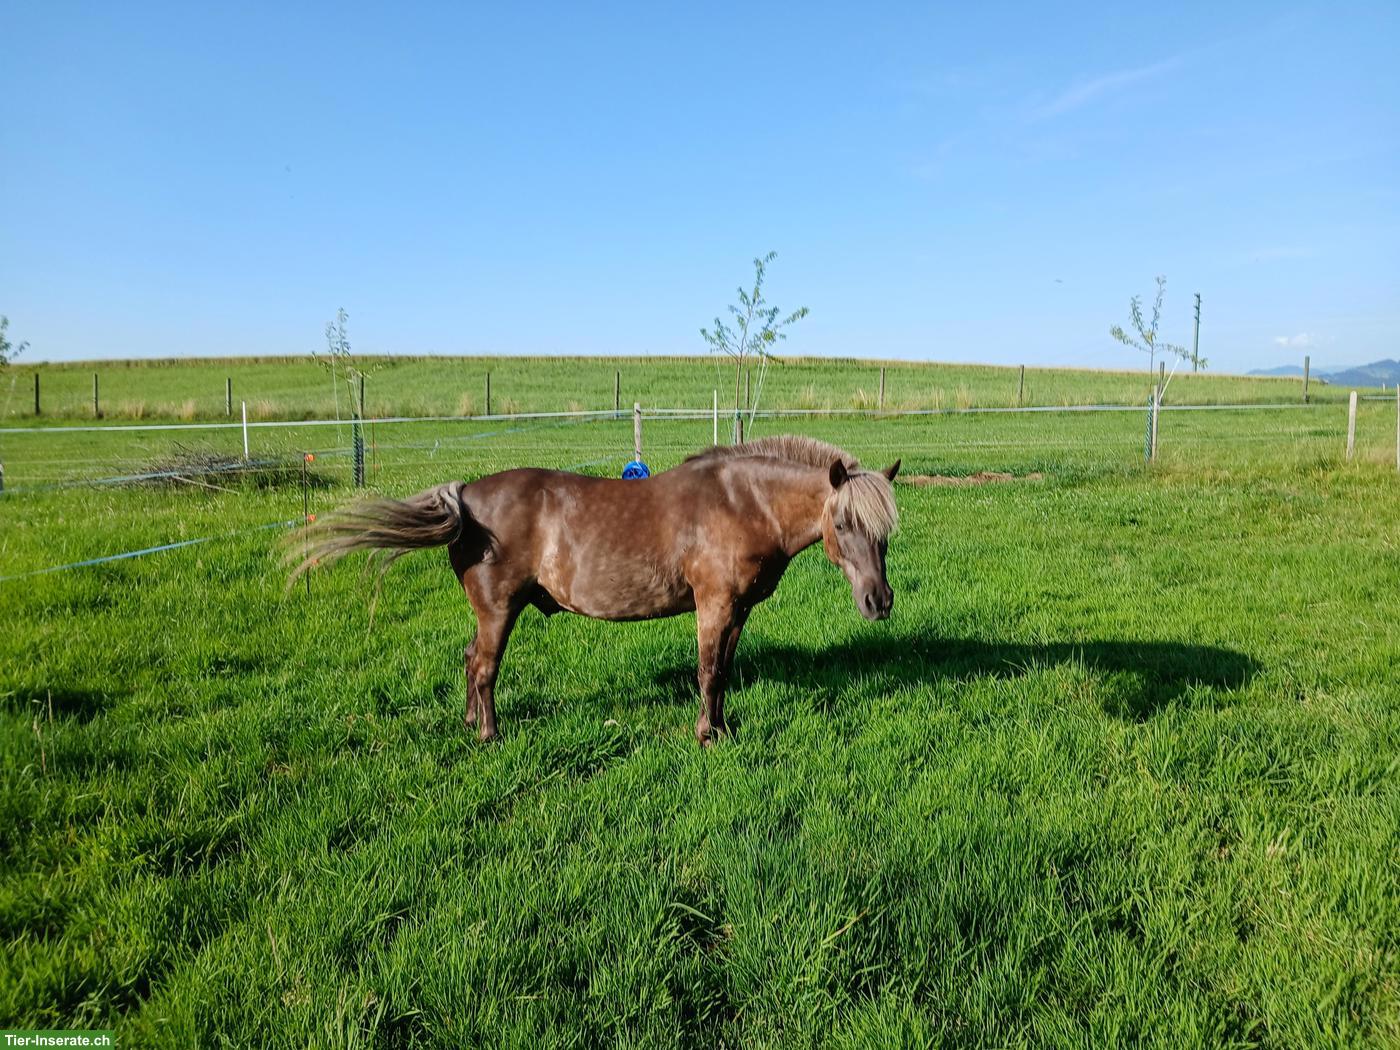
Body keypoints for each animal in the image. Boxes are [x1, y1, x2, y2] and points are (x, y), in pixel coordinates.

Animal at [290, 435, 900, 746]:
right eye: (842, 523)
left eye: (886, 531)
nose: (879, 602)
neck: (741, 503)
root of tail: (463, 494)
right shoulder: (714, 605)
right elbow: (707, 672)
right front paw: (706, 735)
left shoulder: (739, 611)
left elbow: (724, 671)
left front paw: (723, 727)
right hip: (498, 609)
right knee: (484, 668)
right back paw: (488, 734)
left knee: (468, 660)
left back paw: (467, 723)